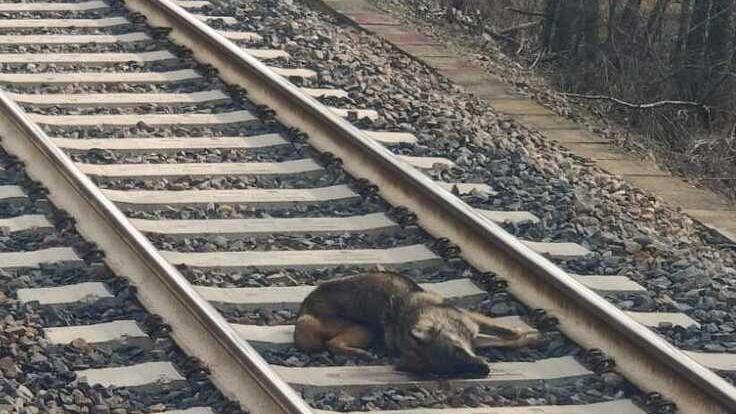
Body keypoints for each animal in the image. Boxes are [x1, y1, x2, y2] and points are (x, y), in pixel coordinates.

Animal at [294, 272, 538, 376]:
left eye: (458, 351)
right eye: (454, 369)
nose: (485, 369)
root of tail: (304, 312)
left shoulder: (472, 327)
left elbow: (505, 334)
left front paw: (528, 335)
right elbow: (505, 335)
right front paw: (531, 335)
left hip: (363, 330)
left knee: (333, 343)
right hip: (367, 330)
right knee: (331, 344)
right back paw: (361, 354)